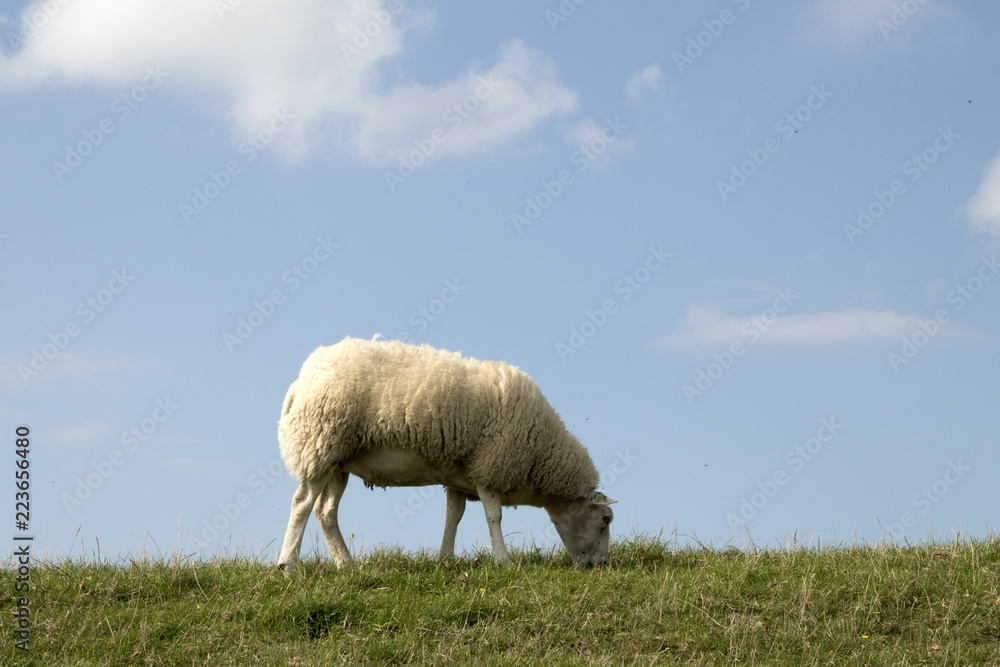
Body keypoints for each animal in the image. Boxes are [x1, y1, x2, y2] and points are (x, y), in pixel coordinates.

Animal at [276, 336, 616, 575]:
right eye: (605, 519)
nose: (600, 566)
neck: (541, 452)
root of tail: (299, 382)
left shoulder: (461, 478)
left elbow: (454, 516)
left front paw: (445, 560)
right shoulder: (490, 468)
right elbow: (494, 517)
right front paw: (503, 561)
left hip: (337, 460)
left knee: (325, 512)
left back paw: (346, 565)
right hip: (320, 441)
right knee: (302, 504)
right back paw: (288, 565)